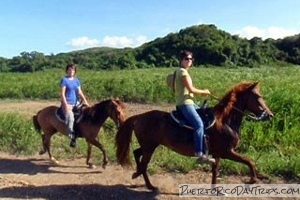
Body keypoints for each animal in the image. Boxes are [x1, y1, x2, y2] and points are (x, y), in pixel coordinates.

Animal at [115, 82, 274, 190]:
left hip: (149, 145)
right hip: (149, 147)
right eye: (257, 96)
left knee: (137, 154)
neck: (225, 120)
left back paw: (138, 175)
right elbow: (249, 161)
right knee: (144, 164)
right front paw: (251, 180)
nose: (270, 115)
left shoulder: (217, 153)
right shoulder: (227, 152)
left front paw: (215, 190)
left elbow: (215, 170)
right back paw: (149, 184)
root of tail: (139, 117)